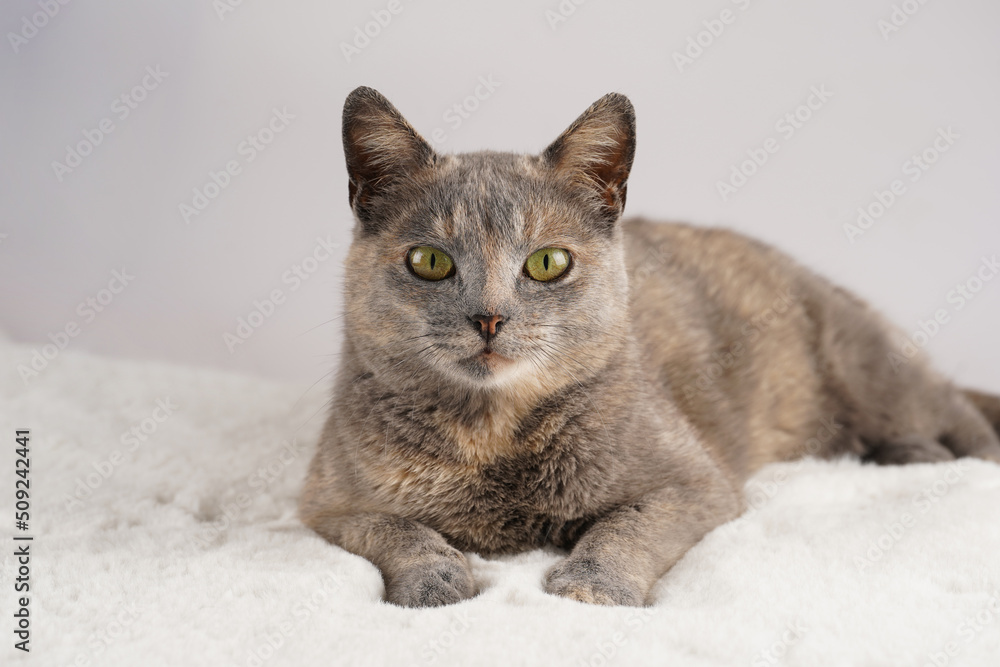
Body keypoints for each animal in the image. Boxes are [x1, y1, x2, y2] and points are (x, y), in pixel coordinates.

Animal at [296, 86, 1000, 608]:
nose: (489, 318)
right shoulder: (325, 500)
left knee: (964, 423)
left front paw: (591, 585)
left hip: (874, 373)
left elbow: (626, 524)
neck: (491, 437)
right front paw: (436, 580)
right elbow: (395, 526)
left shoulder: (695, 482)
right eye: (430, 261)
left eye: (547, 263)